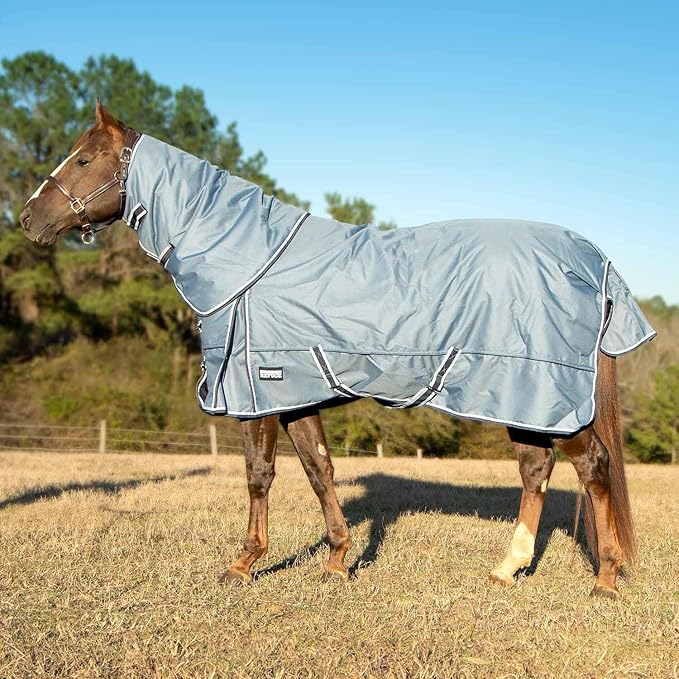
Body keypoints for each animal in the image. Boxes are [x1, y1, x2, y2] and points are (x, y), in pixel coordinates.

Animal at [19, 101, 655, 599]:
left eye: (82, 159)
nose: (28, 219)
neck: (250, 260)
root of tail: (593, 258)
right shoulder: (297, 394)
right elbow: (319, 470)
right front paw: (336, 561)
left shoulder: (257, 390)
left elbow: (259, 474)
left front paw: (243, 564)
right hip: (524, 401)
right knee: (536, 470)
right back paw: (506, 569)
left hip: (547, 395)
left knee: (593, 468)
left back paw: (604, 578)